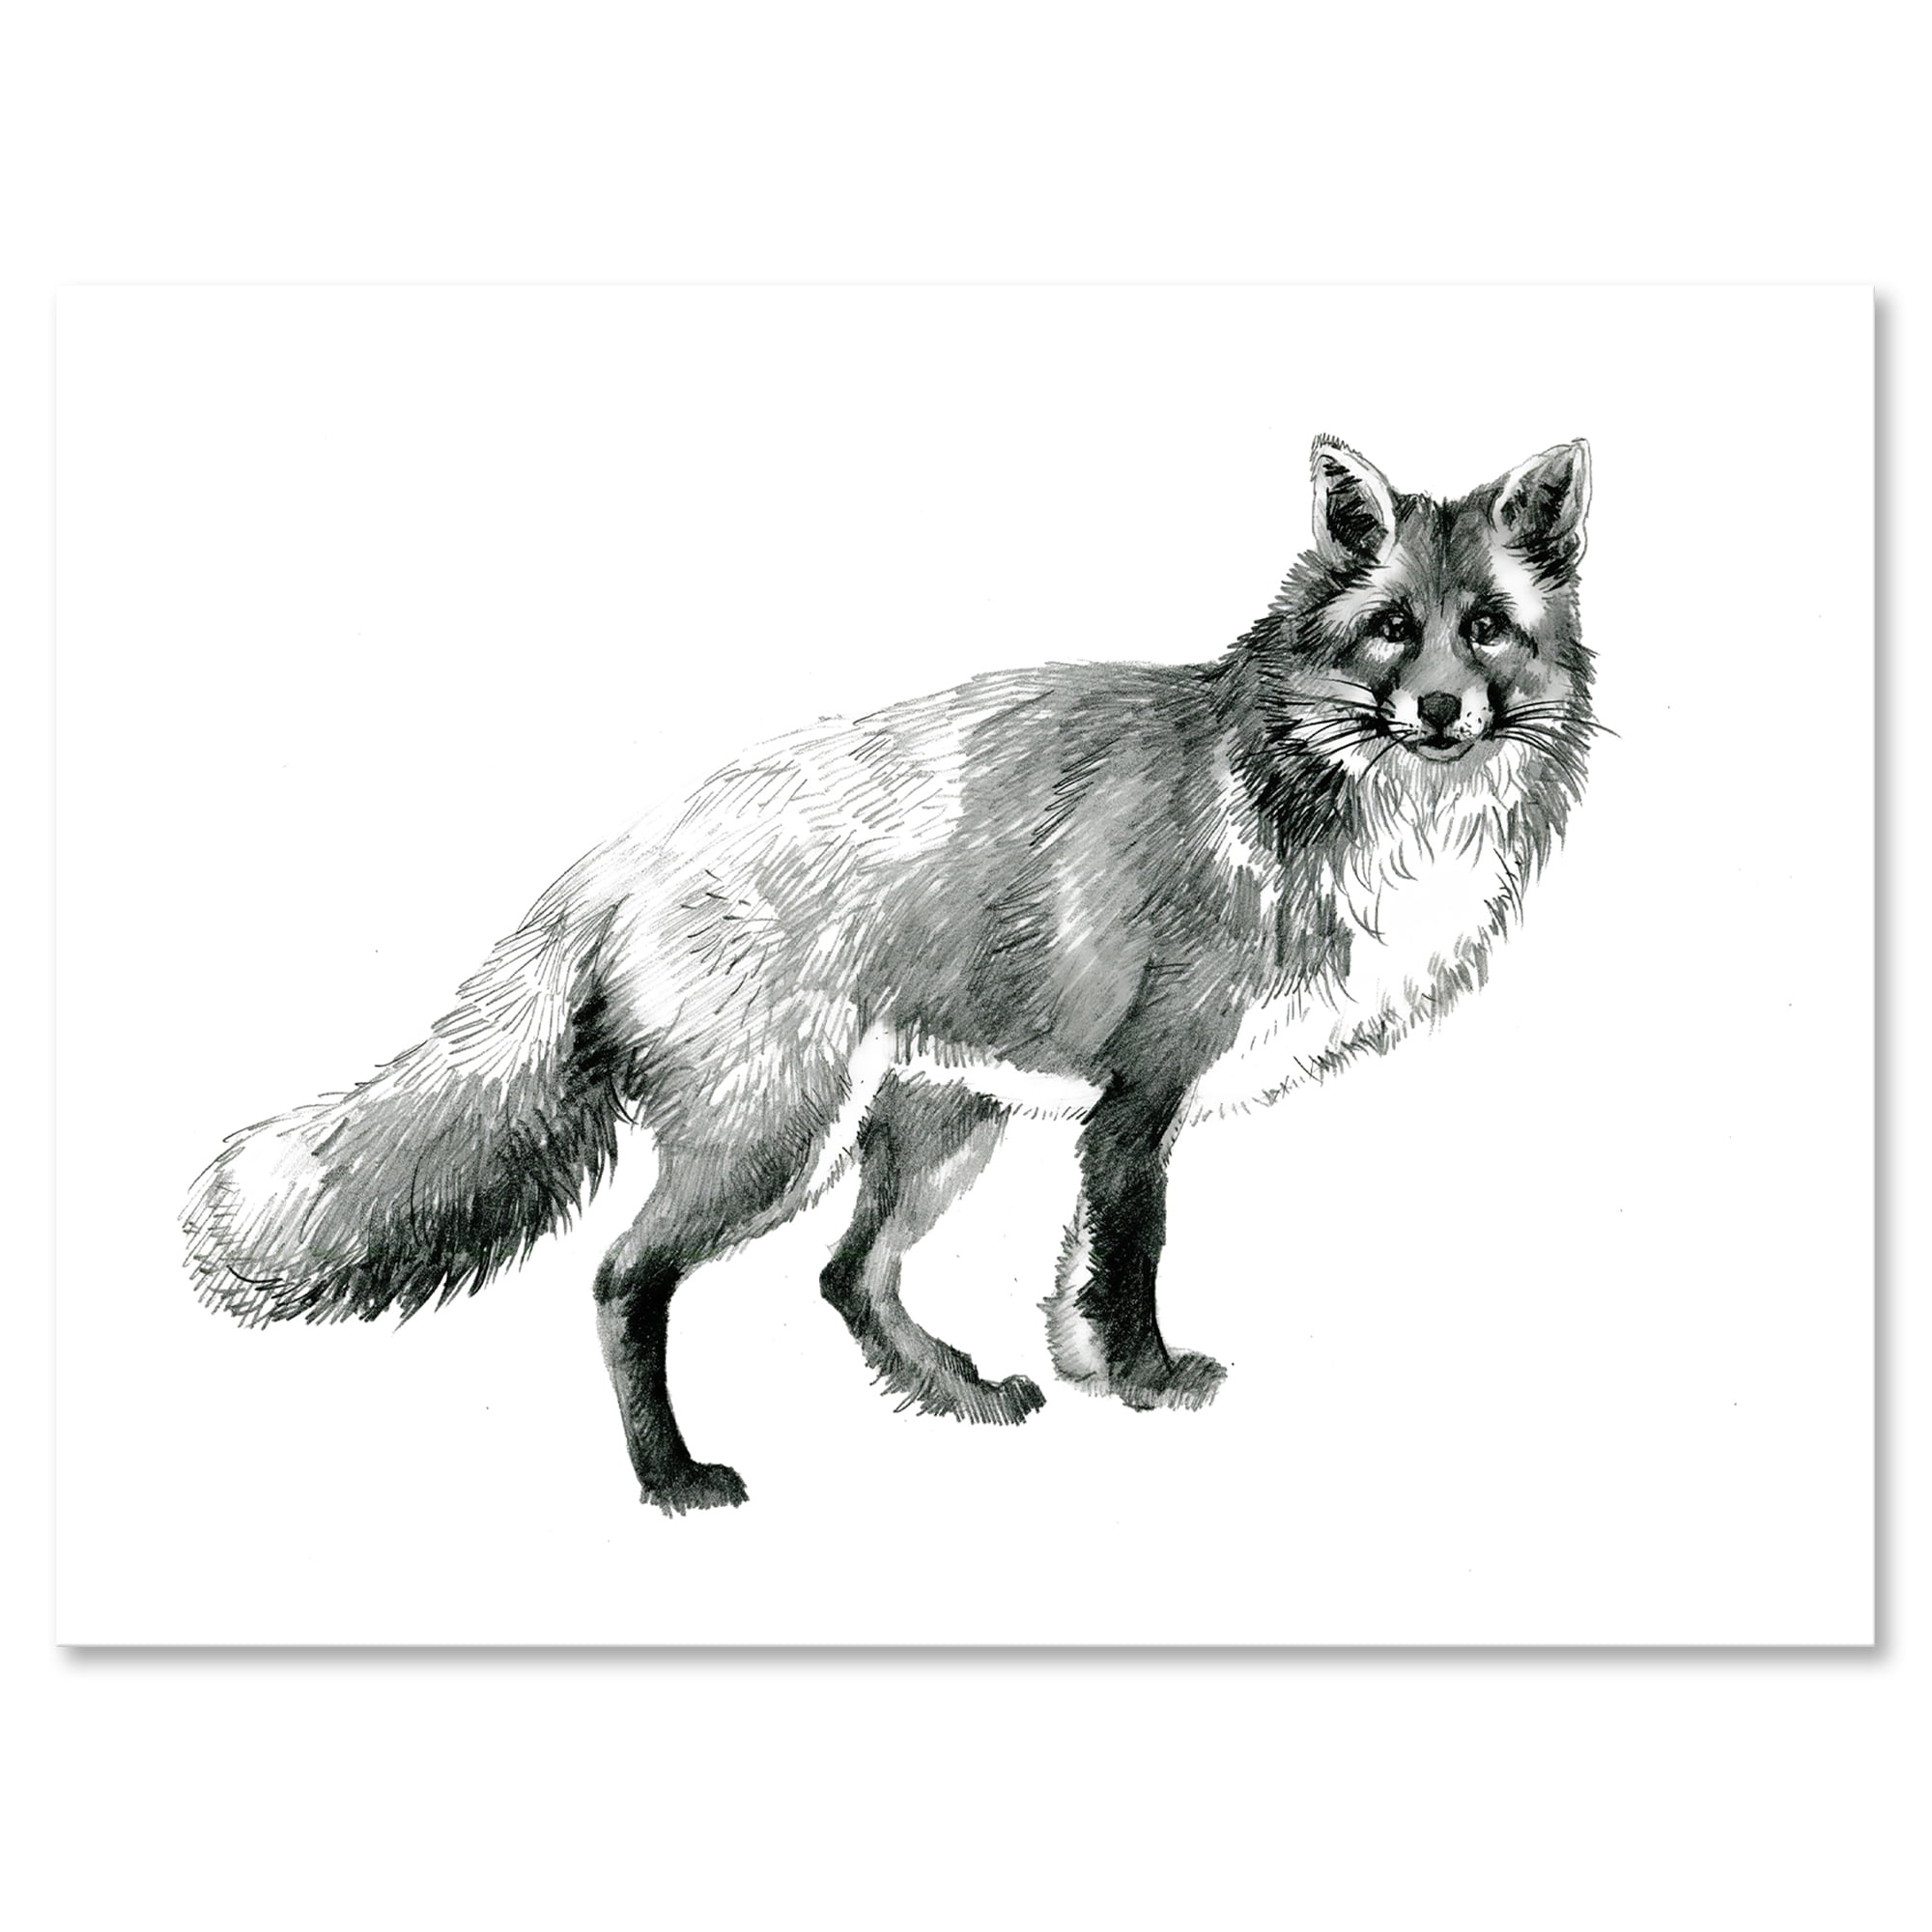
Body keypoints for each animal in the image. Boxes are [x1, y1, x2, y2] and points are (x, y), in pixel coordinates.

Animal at [185, 435, 1595, 1514]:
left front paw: (1088, 1377)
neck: (1326, 803)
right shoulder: (1143, 1094)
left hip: (934, 1122)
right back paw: (673, 1479)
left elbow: (1076, 1280)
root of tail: (622, 853)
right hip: (773, 1141)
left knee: (847, 1276)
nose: (1442, 713)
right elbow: (1129, 1266)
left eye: (1486, 631)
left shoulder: (1102, 1115)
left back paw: (952, 1394)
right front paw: (1146, 1383)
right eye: (1391, 632)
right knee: (623, 1279)